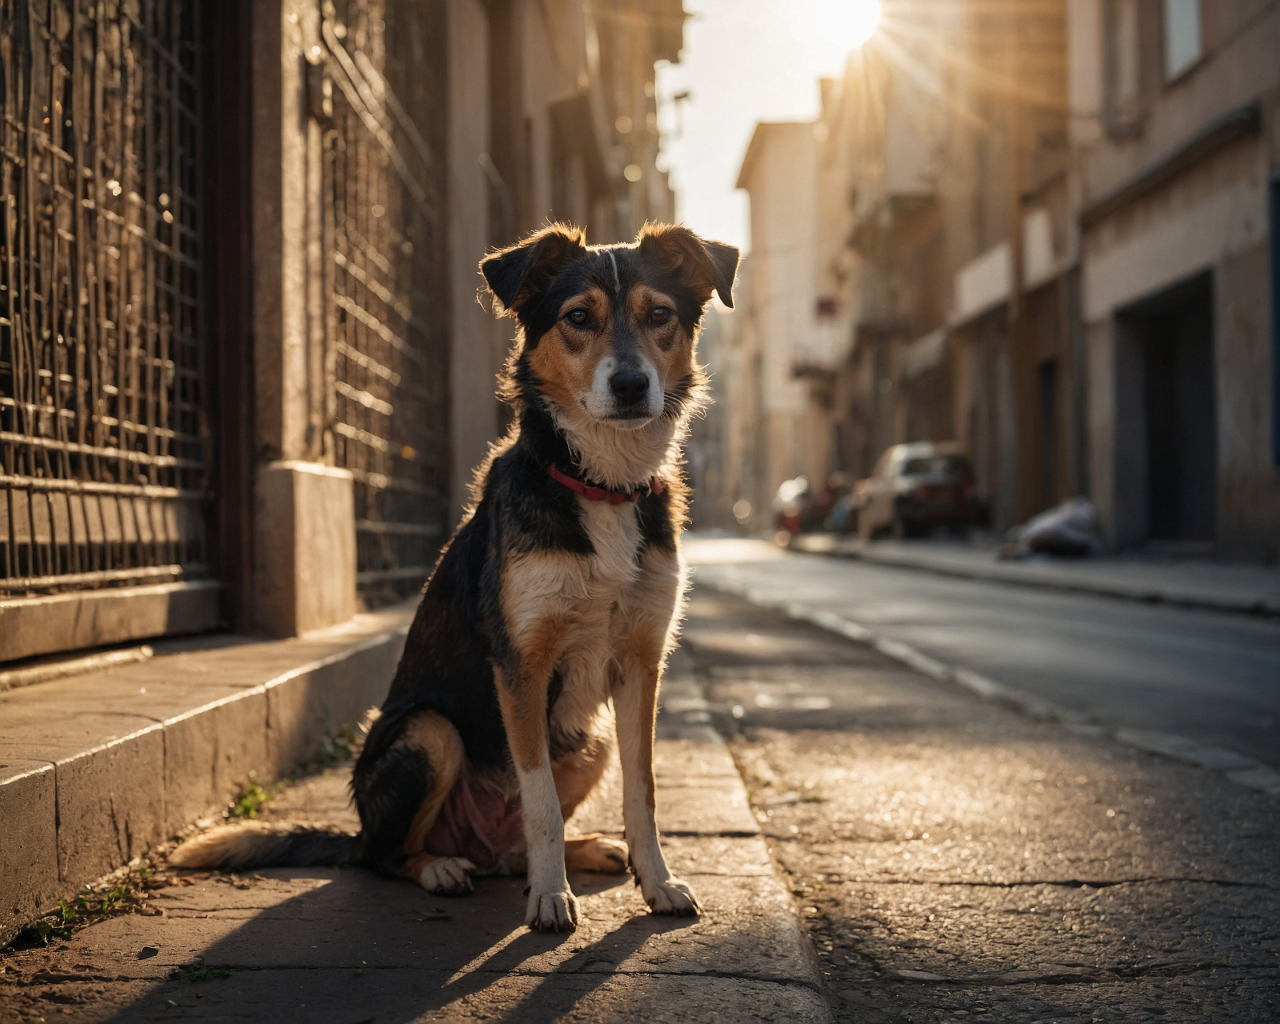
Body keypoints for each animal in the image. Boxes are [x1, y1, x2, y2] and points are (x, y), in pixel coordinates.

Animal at [175, 220, 747, 931]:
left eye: (660, 315)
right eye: (578, 318)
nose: (632, 384)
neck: (601, 484)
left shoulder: (641, 663)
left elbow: (642, 791)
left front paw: (658, 882)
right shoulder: (522, 666)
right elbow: (540, 800)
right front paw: (549, 899)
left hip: (591, 743)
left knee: (508, 848)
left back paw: (582, 852)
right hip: (429, 733)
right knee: (389, 855)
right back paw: (443, 868)